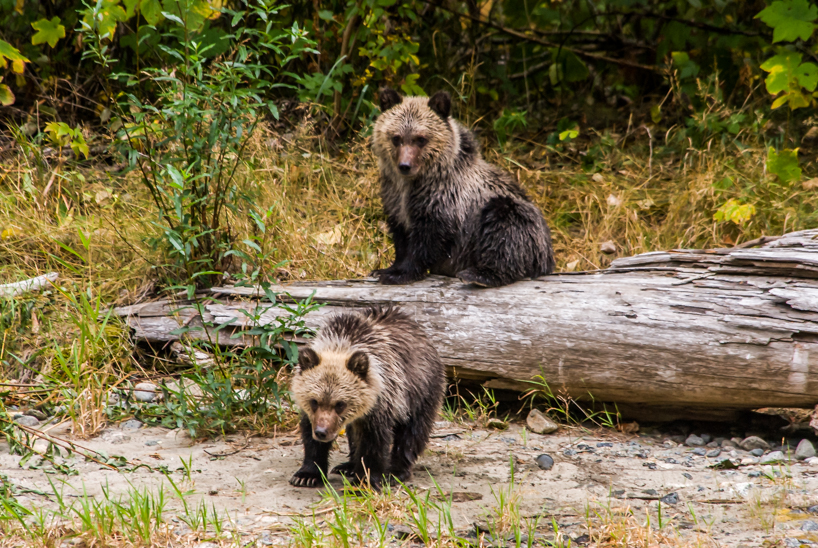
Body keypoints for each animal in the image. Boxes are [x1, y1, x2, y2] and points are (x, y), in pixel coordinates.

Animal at [288, 306, 445, 490]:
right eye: (314, 401)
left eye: (340, 404)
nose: (322, 432)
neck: (341, 343)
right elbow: (310, 436)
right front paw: (307, 475)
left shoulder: (382, 401)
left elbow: (373, 441)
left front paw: (364, 481)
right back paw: (347, 466)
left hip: (420, 390)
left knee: (412, 432)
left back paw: (395, 471)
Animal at [370, 87, 556, 288]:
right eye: (396, 138)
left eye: (421, 139)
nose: (405, 165)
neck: (412, 184)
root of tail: (548, 259)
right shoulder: (394, 199)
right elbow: (400, 237)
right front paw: (384, 269)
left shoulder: (443, 201)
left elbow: (427, 240)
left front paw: (399, 274)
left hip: (521, 221)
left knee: (505, 227)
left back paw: (479, 275)